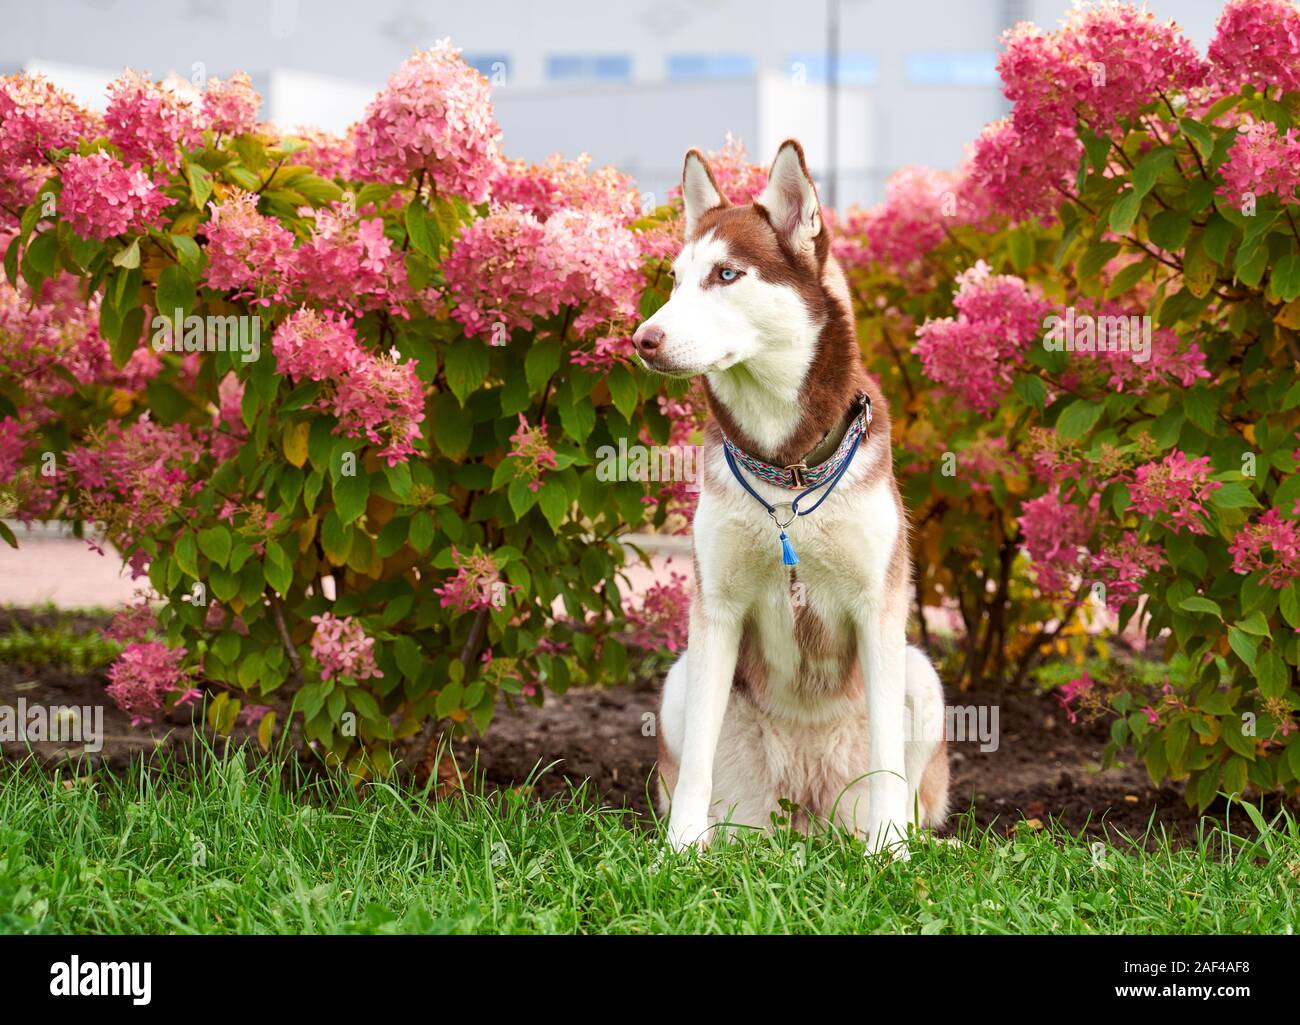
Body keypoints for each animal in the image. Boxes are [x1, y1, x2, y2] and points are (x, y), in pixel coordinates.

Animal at [634, 139, 951, 853]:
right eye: (674, 279)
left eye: (727, 275)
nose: (642, 338)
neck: (788, 471)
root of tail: (806, 810)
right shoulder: (716, 609)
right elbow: (697, 757)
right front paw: (680, 850)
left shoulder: (879, 607)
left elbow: (887, 755)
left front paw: (889, 852)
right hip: (680, 684)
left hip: (923, 677)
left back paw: (910, 837)